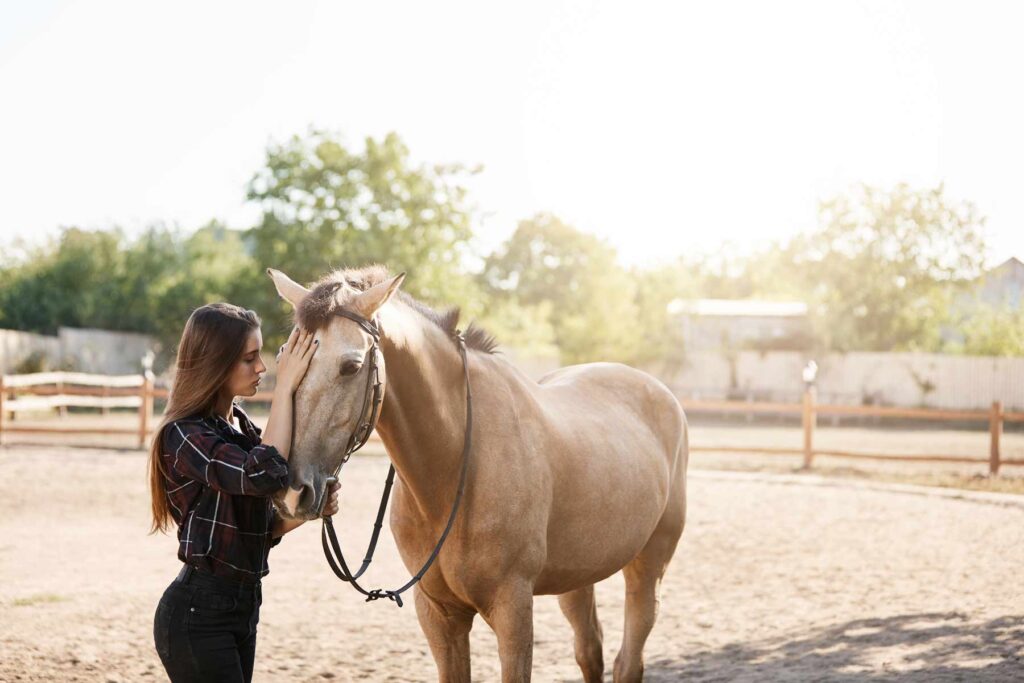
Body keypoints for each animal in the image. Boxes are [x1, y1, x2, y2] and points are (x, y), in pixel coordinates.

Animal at [268, 266, 692, 683]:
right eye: (285, 358)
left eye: (351, 366)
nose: (293, 490)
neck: (457, 465)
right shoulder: (438, 614)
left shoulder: (513, 608)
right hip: (578, 576)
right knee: (590, 652)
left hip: (649, 564)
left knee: (629, 660)